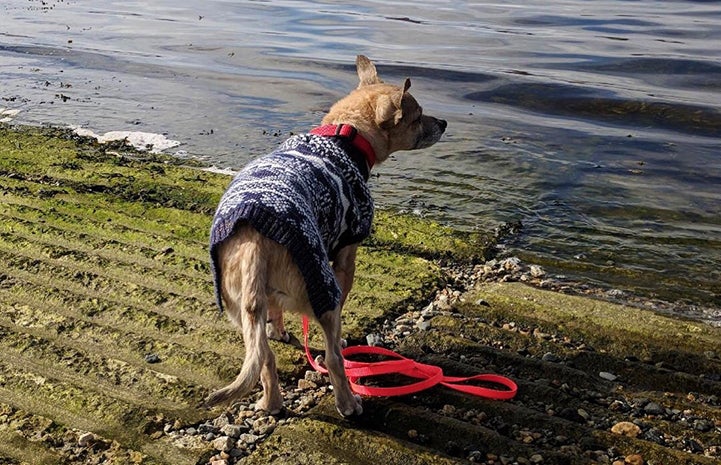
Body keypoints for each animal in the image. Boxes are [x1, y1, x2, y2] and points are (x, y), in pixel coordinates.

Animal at [205, 56, 448, 416]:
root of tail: (254, 241)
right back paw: (349, 403)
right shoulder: (346, 256)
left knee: (264, 357)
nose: (443, 122)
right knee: (333, 358)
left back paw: (272, 402)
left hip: (241, 306)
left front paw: (278, 331)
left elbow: (273, 317)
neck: (343, 134)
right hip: (322, 285)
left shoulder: (271, 297)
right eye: (418, 117)